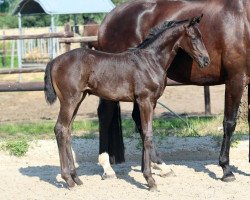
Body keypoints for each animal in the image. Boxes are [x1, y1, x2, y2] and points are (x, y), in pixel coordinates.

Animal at [44, 15, 209, 191]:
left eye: (202, 36)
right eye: (193, 37)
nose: (206, 60)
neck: (151, 60)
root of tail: (54, 61)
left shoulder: (151, 102)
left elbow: (144, 132)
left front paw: (148, 173)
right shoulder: (145, 100)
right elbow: (148, 134)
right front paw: (150, 180)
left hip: (78, 99)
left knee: (67, 131)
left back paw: (76, 178)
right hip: (69, 100)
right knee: (60, 129)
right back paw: (68, 179)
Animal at [97, 0, 250, 182]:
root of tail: (108, 19)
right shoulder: (236, 79)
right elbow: (229, 123)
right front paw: (226, 170)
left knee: (138, 120)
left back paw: (160, 166)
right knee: (105, 116)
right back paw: (107, 168)